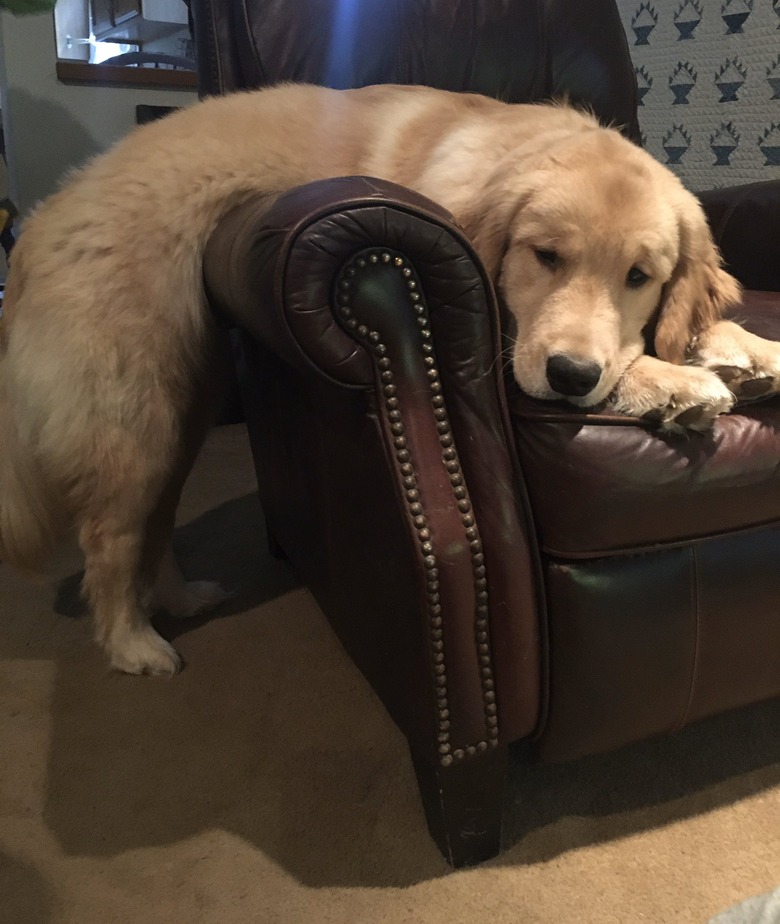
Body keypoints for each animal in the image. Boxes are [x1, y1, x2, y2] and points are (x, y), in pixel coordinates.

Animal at [1, 85, 780, 672]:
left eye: (639, 277)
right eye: (546, 256)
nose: (570, 375)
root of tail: (37, 225)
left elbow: (702, 323)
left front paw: (747, 349)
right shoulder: (509, 338)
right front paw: (671, 383)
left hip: (180, 410)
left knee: (150, 524)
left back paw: (181, 598)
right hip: (133, 417)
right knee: (108, 538)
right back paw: (132, 643)